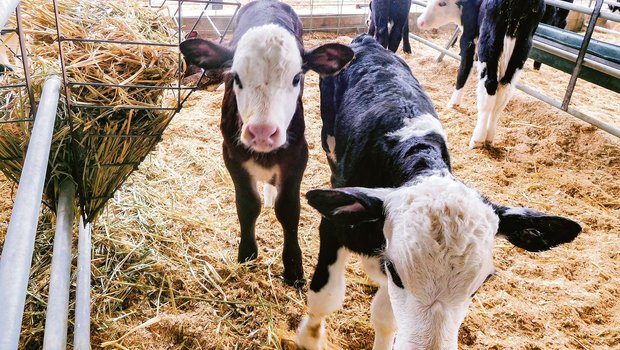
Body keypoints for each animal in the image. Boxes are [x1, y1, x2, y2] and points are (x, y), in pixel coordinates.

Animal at [179, 0, 354, 288]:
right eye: (236, 77)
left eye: (296, 78)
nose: (262, 132)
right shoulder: (231, 155)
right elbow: (248, 205)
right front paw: (247, 254)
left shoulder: (297, 155)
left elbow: (288, 209)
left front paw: (293, 268)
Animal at [296, 34, 580, 350]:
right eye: (396, 271)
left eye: (482, 283)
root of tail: (367, 41)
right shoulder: (335, 225)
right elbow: (325, 296)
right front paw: (309, 338)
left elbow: (385, 317)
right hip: (329, 137)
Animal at [416, 0, 544, 148]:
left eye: (442, 3)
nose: (420, 22)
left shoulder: (468, 37)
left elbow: (463, 70)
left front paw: (453, 104)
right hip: (522, 49)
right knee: (503, 94)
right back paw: (489, 137)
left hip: (488, 41)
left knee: (489, 86)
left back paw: (478, 139)